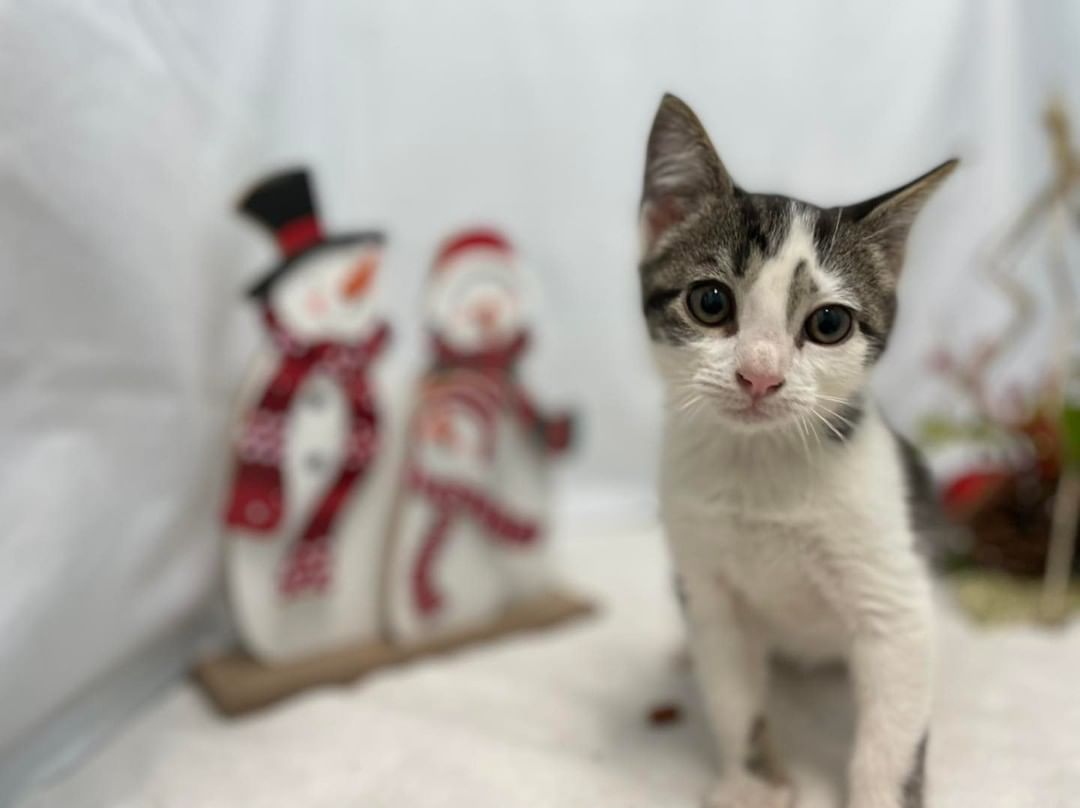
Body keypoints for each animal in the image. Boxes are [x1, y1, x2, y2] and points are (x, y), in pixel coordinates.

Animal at [635, 94, 959, 808]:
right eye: (709, 301)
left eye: (829, 323)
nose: (759, 375)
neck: (763, 466)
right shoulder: (712, 593)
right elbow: (733, 695)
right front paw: (753, 784)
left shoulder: (895, 601)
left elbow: (893, 732)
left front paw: (880, 793)